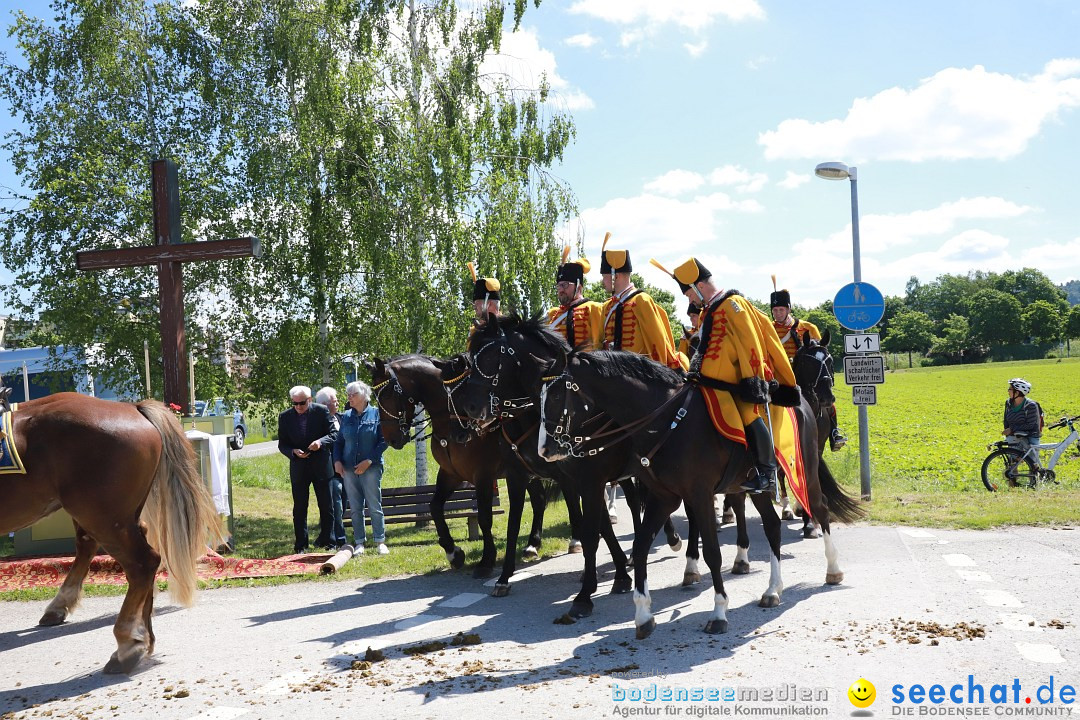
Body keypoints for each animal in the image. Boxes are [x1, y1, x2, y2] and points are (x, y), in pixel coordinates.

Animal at [0, 390, 223, 673]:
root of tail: (133, 408)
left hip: (102, 517)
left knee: (141, 563)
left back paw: (127, 642)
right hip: (116, 517)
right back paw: (142, 636)